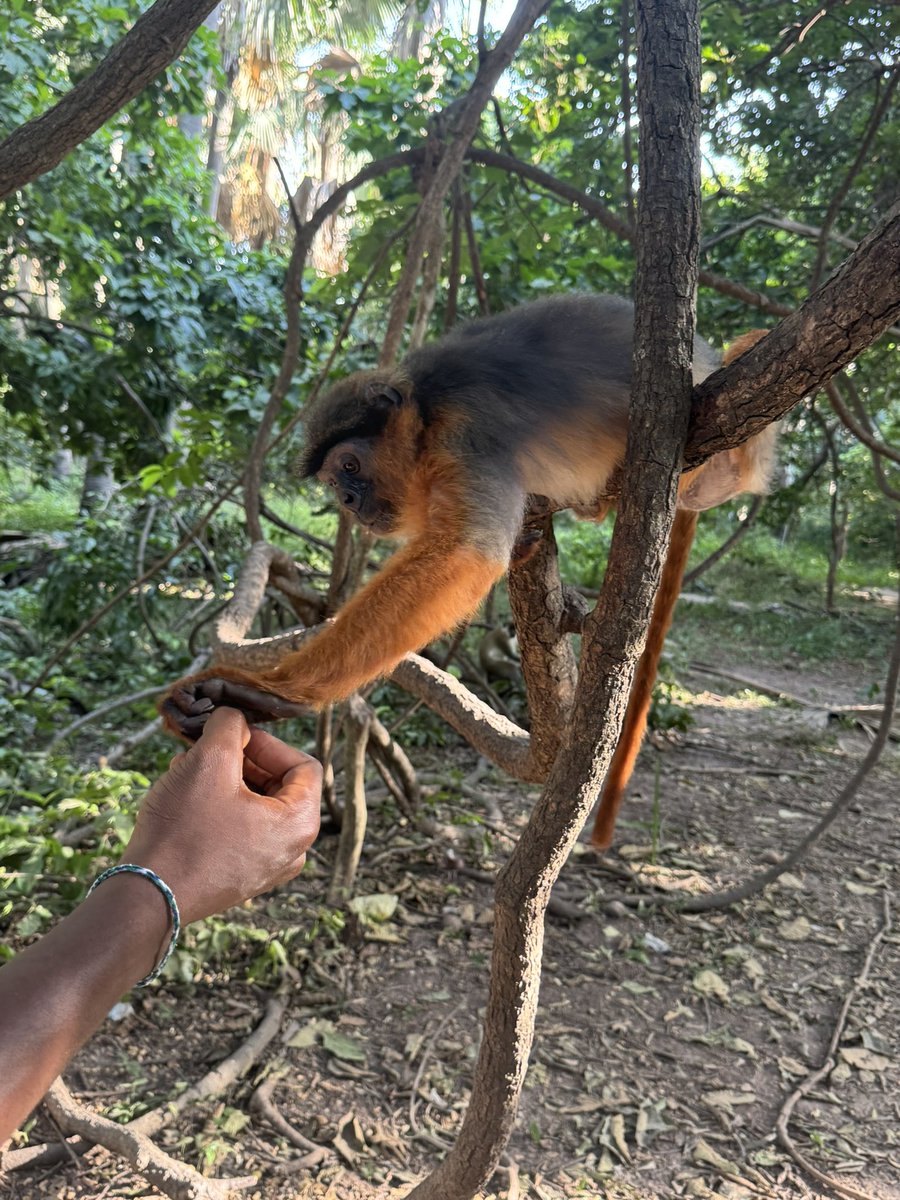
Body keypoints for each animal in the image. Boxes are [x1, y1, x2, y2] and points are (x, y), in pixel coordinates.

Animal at [162, 295, 776, 848]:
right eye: (337, 482)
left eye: (351, 467)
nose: (351, 503)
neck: (426, 411)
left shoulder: (466, 432)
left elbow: (465, 552)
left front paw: (269, 692)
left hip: (722, 465)